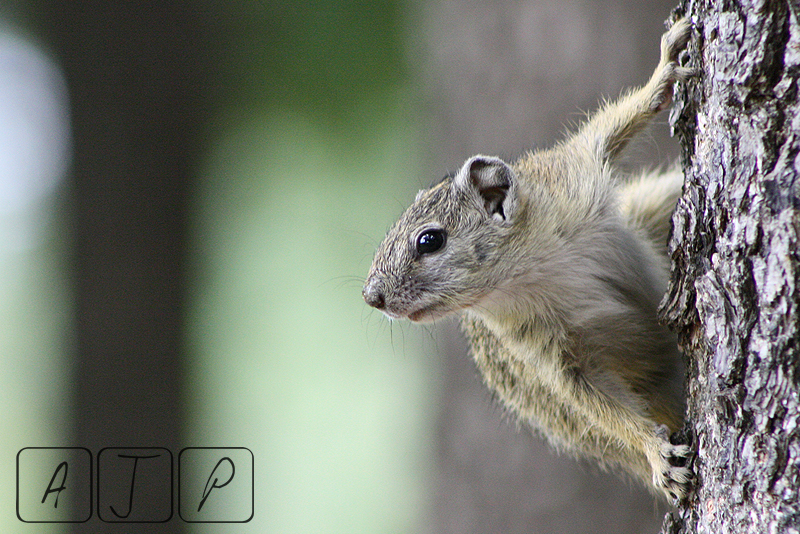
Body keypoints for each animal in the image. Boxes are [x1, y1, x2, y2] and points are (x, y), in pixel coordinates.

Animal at [363, 18, 694, 501]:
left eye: (429, 241)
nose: (372, 296)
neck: (533, 271)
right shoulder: (546, 348)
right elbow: (595, 402)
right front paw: (655, 453)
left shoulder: (572, 175)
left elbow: (614, 125)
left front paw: (663, 73)